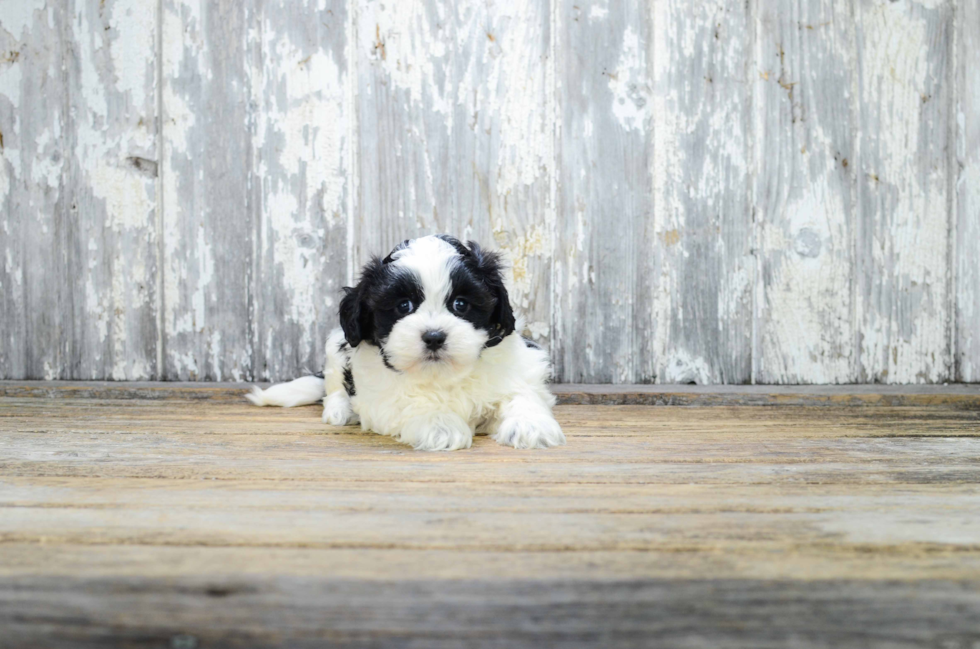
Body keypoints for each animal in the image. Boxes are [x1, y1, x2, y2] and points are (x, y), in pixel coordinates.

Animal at [247, 234, 568, 450]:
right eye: (403, 306)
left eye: (461, 304)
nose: (434, 337)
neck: (442, 375)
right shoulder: (379, 396)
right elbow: (409, 403)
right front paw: (440, 425)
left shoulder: (522, 364)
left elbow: (522, 392)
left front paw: (530, 425)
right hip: (336, 343)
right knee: (334, 383)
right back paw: (339, 410)